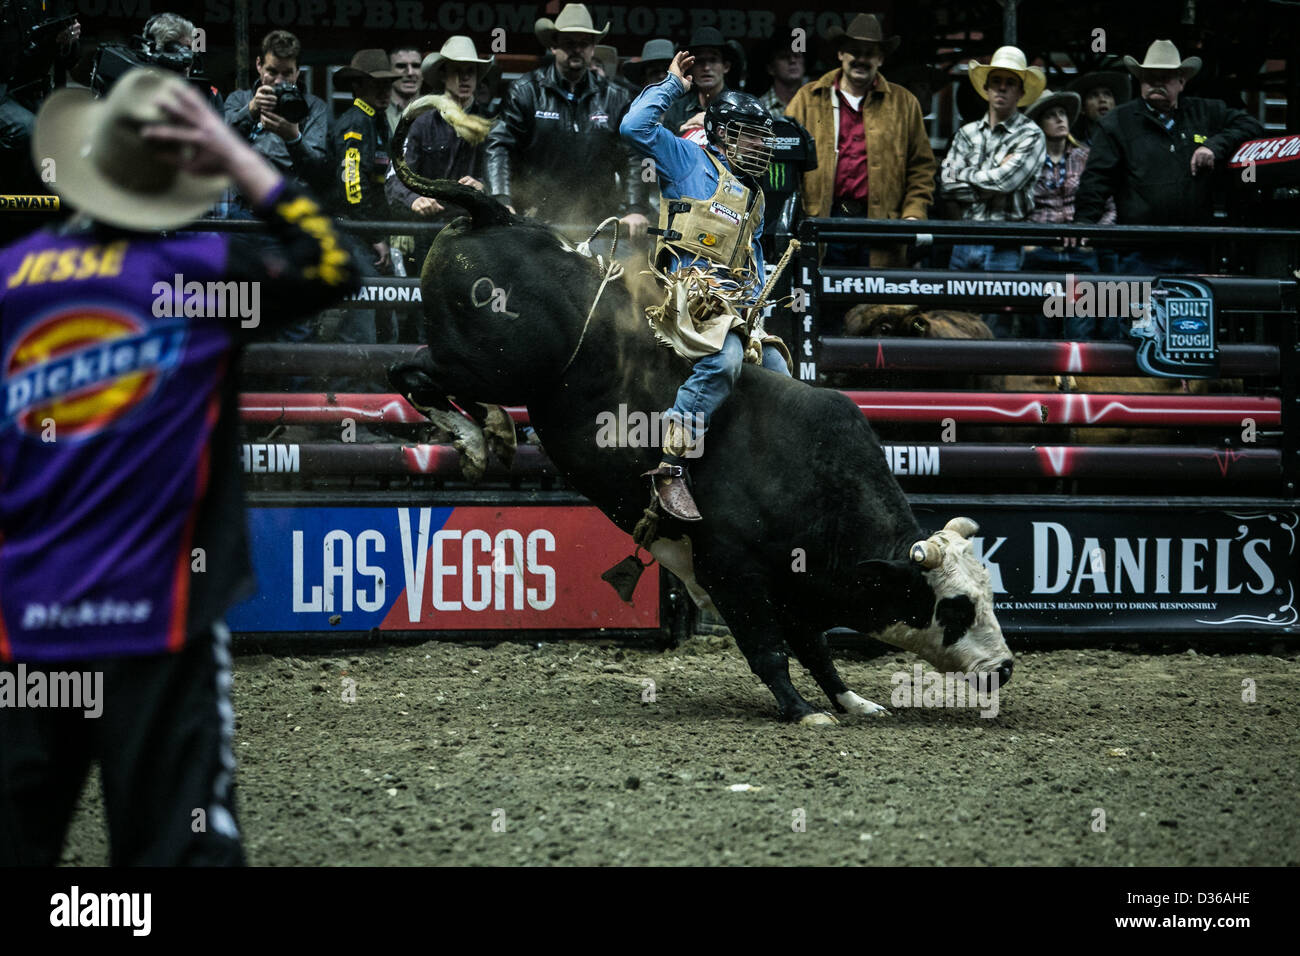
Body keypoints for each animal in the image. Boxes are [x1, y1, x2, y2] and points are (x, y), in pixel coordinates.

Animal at [384, 167, 1013, 723]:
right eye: (956, 606)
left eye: (989, 591)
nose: (1005, 667)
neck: (816, 483)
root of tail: (496, 215)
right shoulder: (730, 569)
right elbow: (769, 649)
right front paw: (804, 711)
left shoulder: (793, 584)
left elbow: (816, 648)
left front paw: (852, 701)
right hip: (488, 363)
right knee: (408, 371)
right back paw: (473, 442)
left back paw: (493, 431)